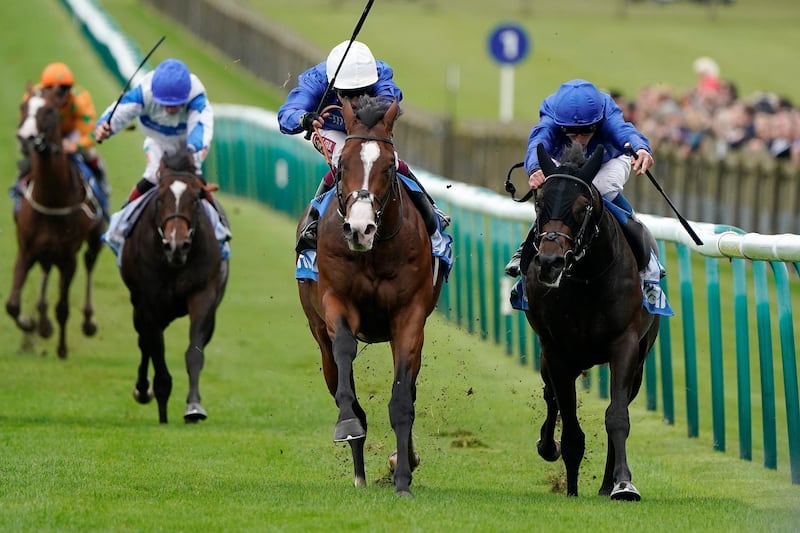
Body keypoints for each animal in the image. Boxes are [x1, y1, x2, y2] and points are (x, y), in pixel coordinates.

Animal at [6, 85, 106, 358]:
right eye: (23, 106)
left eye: (50, 111)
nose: (26, 138)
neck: (51, 198)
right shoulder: (26, 250)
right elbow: (12, 305)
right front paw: (30, 323)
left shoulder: (68, 258)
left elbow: (63, 307)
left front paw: (62, 348)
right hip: (44, 252)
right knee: (45, 269)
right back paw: (42, 320)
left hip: (94, 240)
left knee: (90, 264)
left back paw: (89, 321)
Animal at [120, 150, 230, 424]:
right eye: (160, 200)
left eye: (196, 200)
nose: (176, 245)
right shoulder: (147, 302)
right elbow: (157, 351)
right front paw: (160, 400)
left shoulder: (203, 295)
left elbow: (194, 352)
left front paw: (194, 407)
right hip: (140, 308)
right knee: (145, 341)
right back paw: (142, 390)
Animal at [296, 95, 446, 494]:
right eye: (342, 164)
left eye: (389, 166)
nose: (359, 229)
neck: (374, 252)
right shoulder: (336, 302)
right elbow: (346, 355)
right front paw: (350, 424)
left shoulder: (409, 317)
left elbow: (403, 400)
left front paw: (403, 476)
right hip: (317, 333)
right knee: (337, 377)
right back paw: (359, 469)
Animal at [520, 141, 660, 498]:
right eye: (539, 202)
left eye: (584, 206)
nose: (550, 262)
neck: (586, 279)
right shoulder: (555, 350)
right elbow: (568, 422)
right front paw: (569, 485)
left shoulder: (625, 344)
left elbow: (617, 415)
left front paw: (623, 483)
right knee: (550, 395)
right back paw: (549, 448)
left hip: (639, 361)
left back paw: (607, 483)